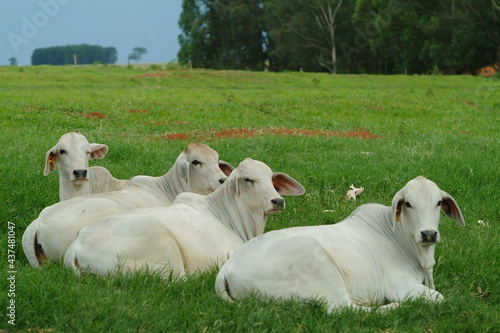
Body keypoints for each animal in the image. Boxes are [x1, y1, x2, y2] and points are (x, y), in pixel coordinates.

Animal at [217, 175, 466, 312]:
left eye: (438, 203)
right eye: (408, 204)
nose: (428, 234)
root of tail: (226, 268)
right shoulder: (400, 285)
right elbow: (439, 298)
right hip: (318, 263)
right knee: (342, 309)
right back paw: (393, 308)